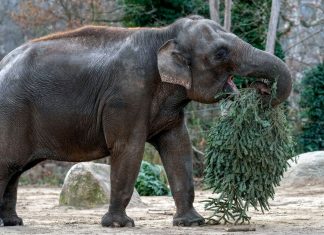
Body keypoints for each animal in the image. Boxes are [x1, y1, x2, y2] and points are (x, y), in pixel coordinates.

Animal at [0, 15, 292, 228]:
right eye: (220, 53)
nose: (261, 88)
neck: (164, 34)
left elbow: (178, 148)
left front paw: (192, 223)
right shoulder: (128, 94)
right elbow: (128, 148)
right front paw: (119, 225)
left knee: (14, 169)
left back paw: (13, 222)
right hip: (12, 112)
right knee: (9, 164)